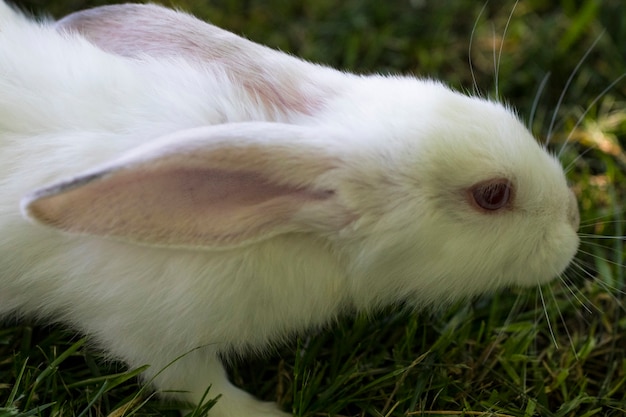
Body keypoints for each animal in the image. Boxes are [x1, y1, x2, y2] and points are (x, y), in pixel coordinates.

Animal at [0, 1, 580, 414]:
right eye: (492, 195)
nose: (574, 217)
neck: (287, 224)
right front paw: (267, 414)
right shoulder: (145, 330)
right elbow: (198, 389)